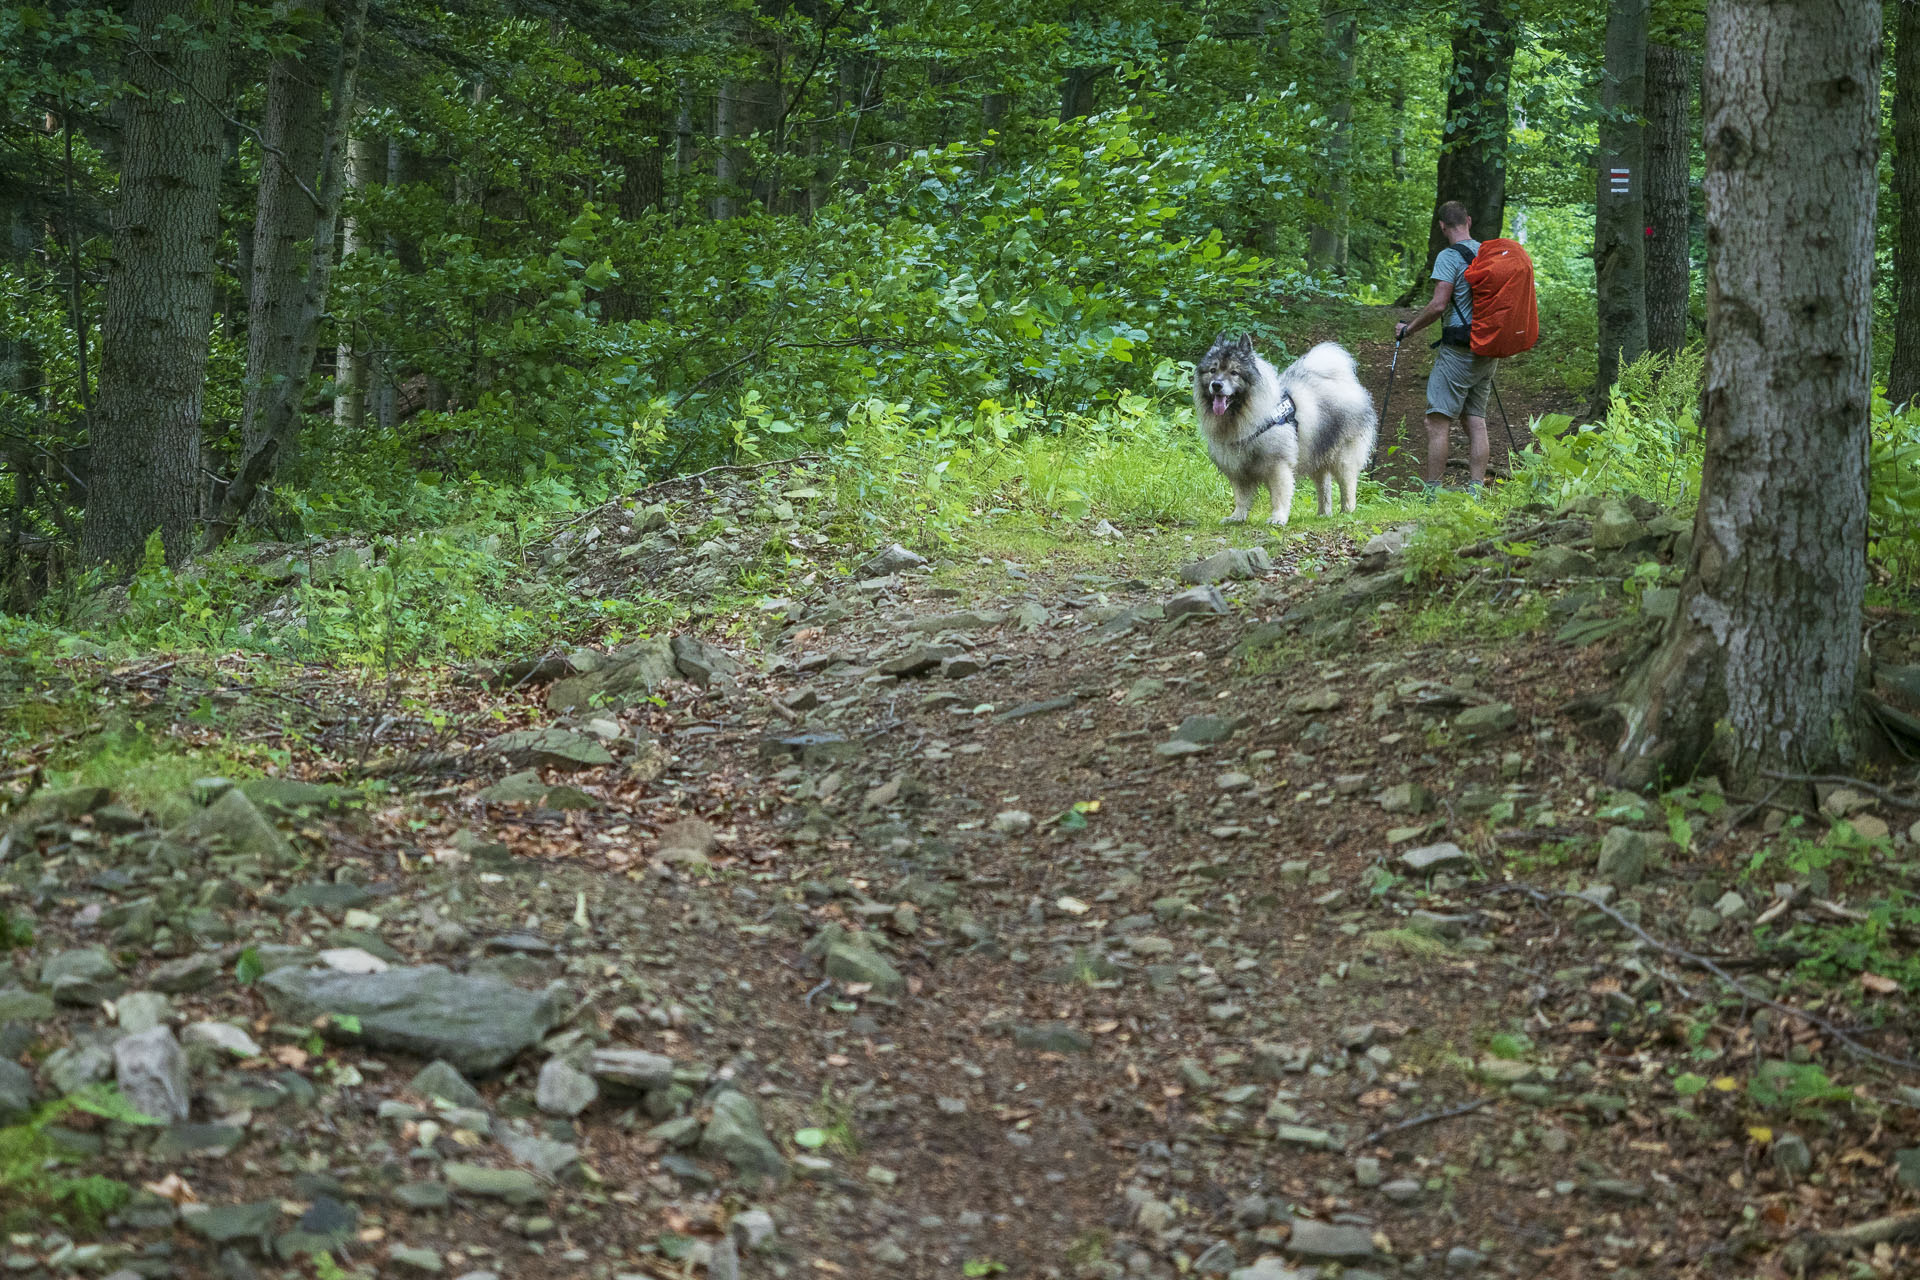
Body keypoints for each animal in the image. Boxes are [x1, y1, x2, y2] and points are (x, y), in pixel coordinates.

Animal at [1190, 337, 1374, 529]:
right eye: (1213, 370)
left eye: (1234, 372)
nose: (1216, 385)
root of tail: (1346, 382)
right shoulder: (1238, 468)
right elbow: (1241, 498)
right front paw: (1237, 517)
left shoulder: (1278, 465)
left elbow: (1279, 495)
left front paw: (1278, 518)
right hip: (1316, 455)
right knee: (1324, 487)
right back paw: (1323, 514)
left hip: (1343, 458)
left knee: (1348, 486)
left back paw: (1347, 512)